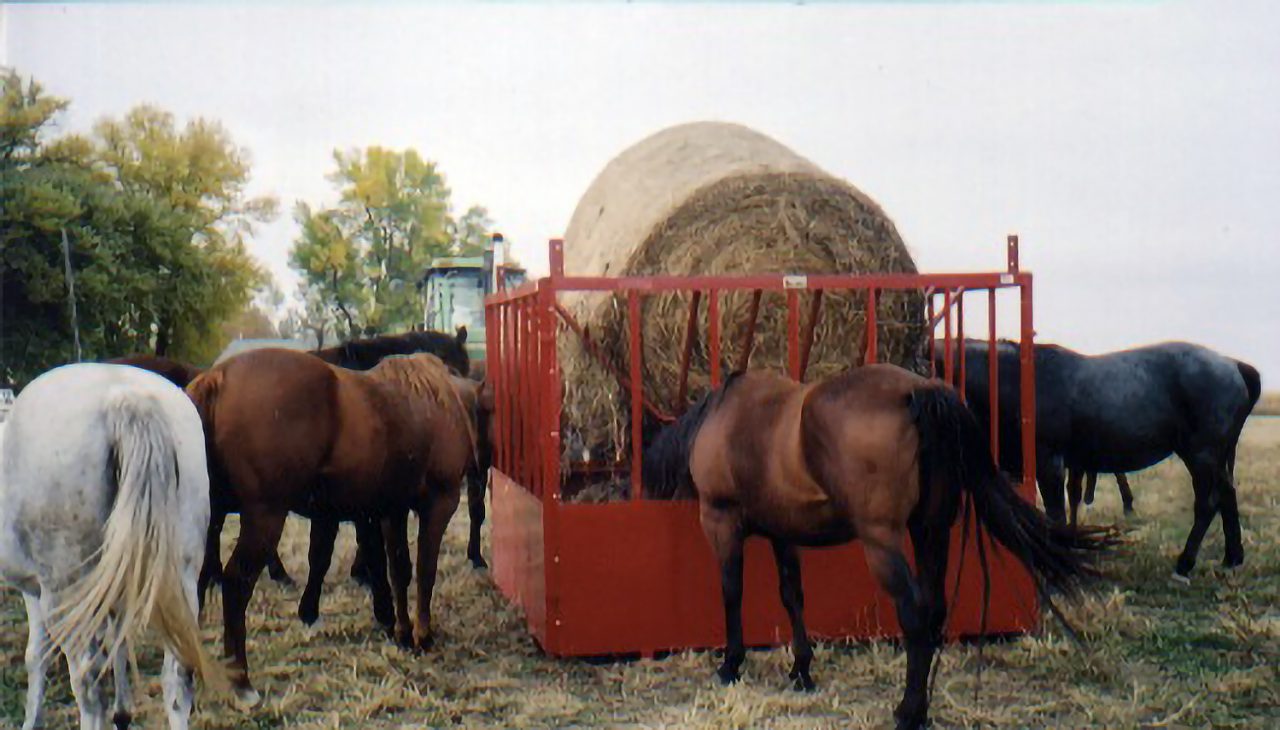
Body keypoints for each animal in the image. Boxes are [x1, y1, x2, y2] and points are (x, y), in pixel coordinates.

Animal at [0, 364, 225, 729]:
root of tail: (127, 399)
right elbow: (117, 635)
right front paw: (124, 712)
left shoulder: (36, 590)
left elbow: (37, 656)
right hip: (182, 577)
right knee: (179, 677)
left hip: (66, 592)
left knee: (89, 688)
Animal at [185, 349, 481, 704]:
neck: (433, 398)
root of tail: (218, 377)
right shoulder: (439, 503)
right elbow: (425, 570)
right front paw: (423, 635)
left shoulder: (391, 510)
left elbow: (399, 571)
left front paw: (403, 632)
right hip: (264, 517)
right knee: (234, 586)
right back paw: (241, 681)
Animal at [642, 365, 1111, 729]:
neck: (721, 419)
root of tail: (919, 391)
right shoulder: (783, 533)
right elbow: (792, 595)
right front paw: (801, 669)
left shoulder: (721, 521)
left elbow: (731, 591)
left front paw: (731, 664)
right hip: (930, 531)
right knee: (934, 608)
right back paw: (919, 707)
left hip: (882, 541)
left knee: (915, 614)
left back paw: (907, 712)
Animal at [939, 339, 1260, 580]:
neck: (1016, 382)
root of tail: (1232, 364)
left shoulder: (1049, 462)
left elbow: (1055, 512)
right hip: (1217, 455)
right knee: (1228, 494)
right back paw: (1232, 558)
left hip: (1202, 454)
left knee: (1207, 503)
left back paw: (1184, 564)